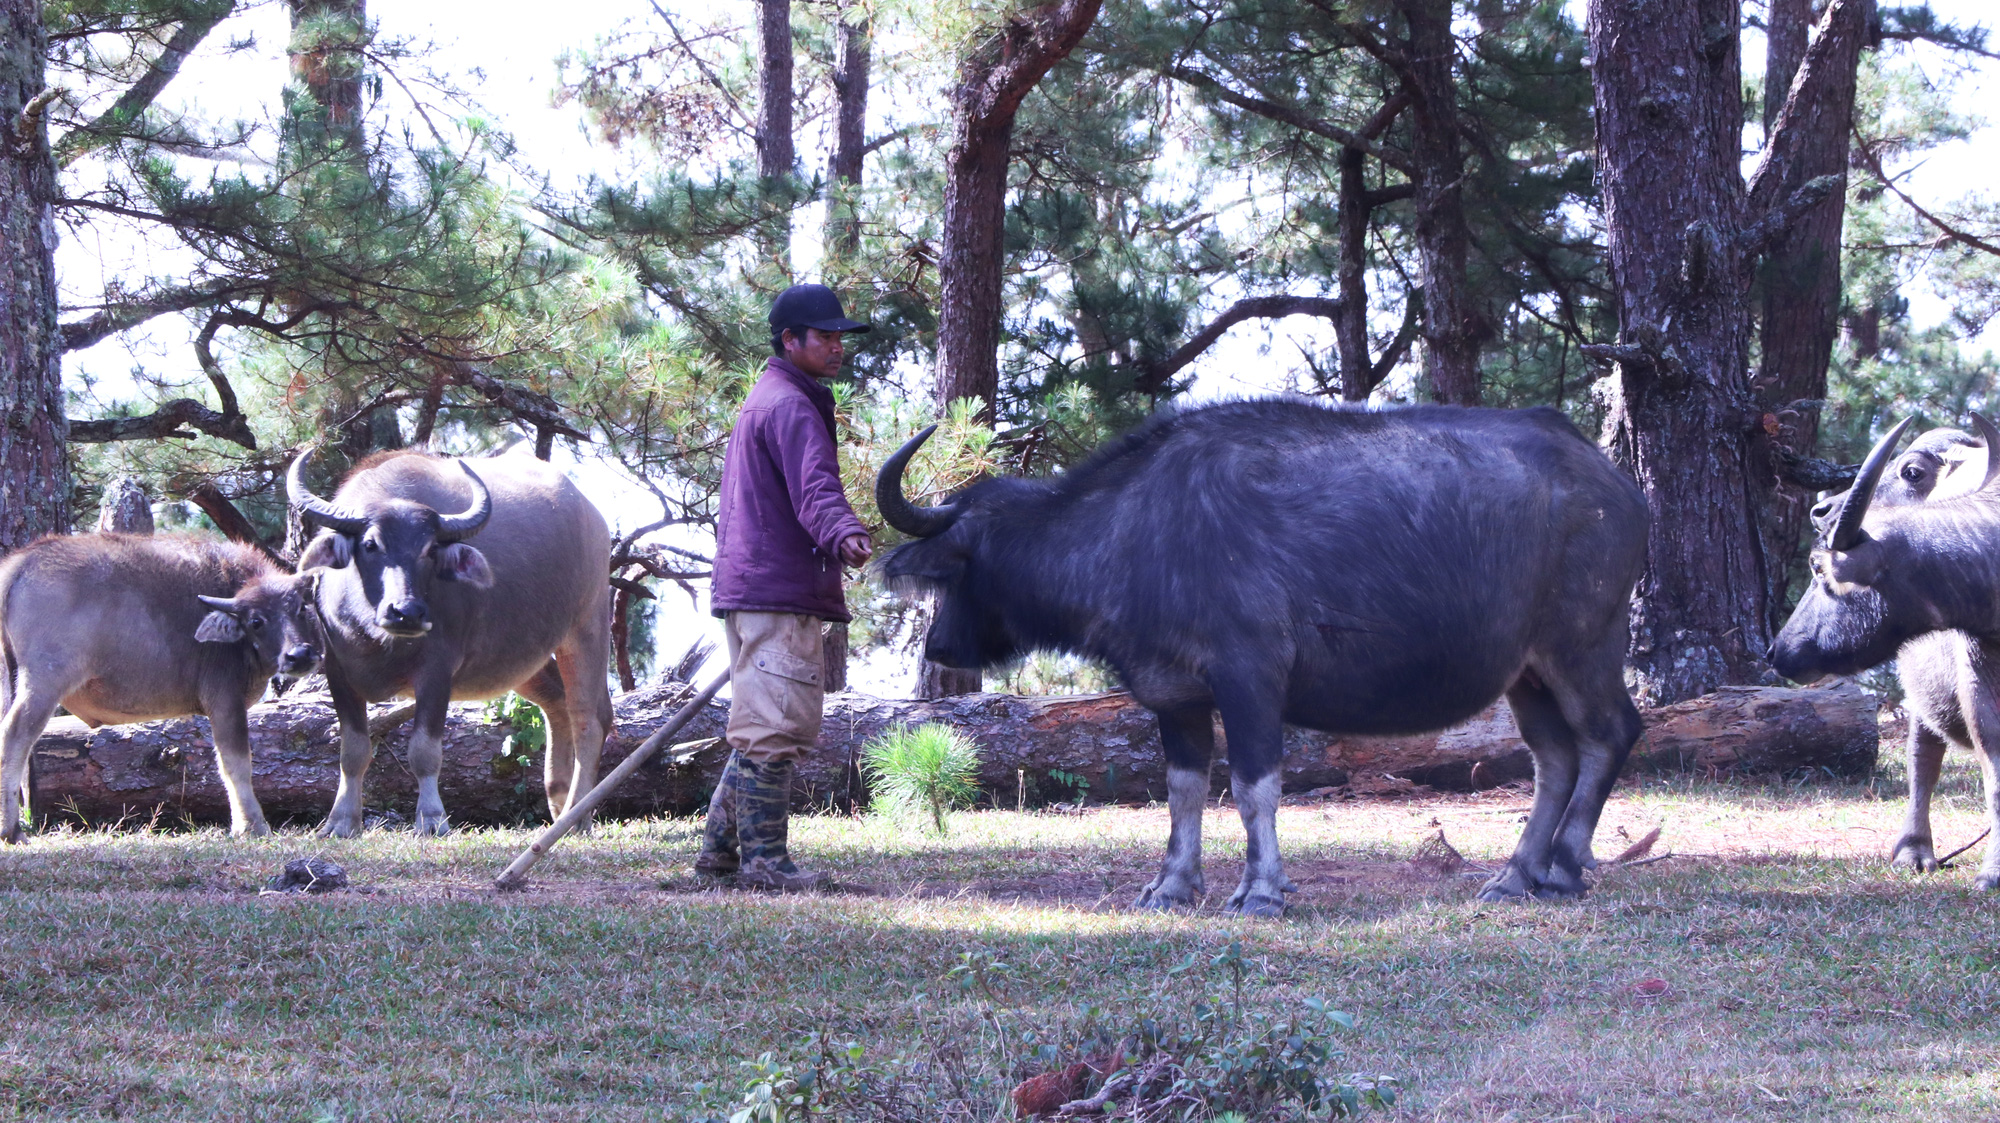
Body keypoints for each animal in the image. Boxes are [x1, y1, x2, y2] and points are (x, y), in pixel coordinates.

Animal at [0, 531, 324, 831]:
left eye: (300, 608)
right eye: (256, 621)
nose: (299, 655)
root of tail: (21, 564)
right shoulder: (225, 701)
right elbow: (236, 763)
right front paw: (251, 826)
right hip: (45, 681)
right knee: (14, 735)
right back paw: (12, 830)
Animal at [292, 445, 608, 831]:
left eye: (430, 549)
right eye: (369, 544)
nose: (407, 612)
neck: (376, 637)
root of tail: (592, 516)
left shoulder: (437, 672)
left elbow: (424, 751)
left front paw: (431, 818)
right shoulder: (338, 672)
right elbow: (352, 751)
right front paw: (341, 821)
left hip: (588, 626)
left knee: (588, 720)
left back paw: (576, 814)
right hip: (521, 660)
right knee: (556, 703)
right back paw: (559, 801)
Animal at [884, 395, 1648, 911]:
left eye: (954, 573)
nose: (940, 644)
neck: (1135, 531)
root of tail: (1615, 484)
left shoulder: (1250, 678)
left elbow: (1255, 787)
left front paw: (1261, 890)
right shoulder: (1178, 696)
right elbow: (1184, 790)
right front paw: (1172, 884)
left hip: (1583, 647)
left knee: (1610, 734)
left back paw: (1564, 866)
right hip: (1527, 672)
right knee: (1555, 758)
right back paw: (1516, 874)